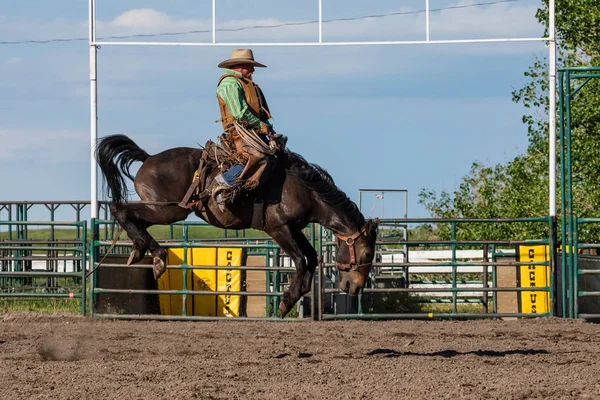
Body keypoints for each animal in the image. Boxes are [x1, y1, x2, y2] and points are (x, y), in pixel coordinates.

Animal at [94, 136, 378, 318]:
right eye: (366, 253)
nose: (355, 288)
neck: (306, 191)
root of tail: (148, 157)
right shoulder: (278, 228)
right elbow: (300, 260)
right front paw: (286, 302)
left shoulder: (295, 228)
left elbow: (311, 257)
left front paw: (293, 297)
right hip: (167, 209)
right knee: (120, 209)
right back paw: (156, 255)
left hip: (165, 210)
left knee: (132, 217)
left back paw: (144, 251)